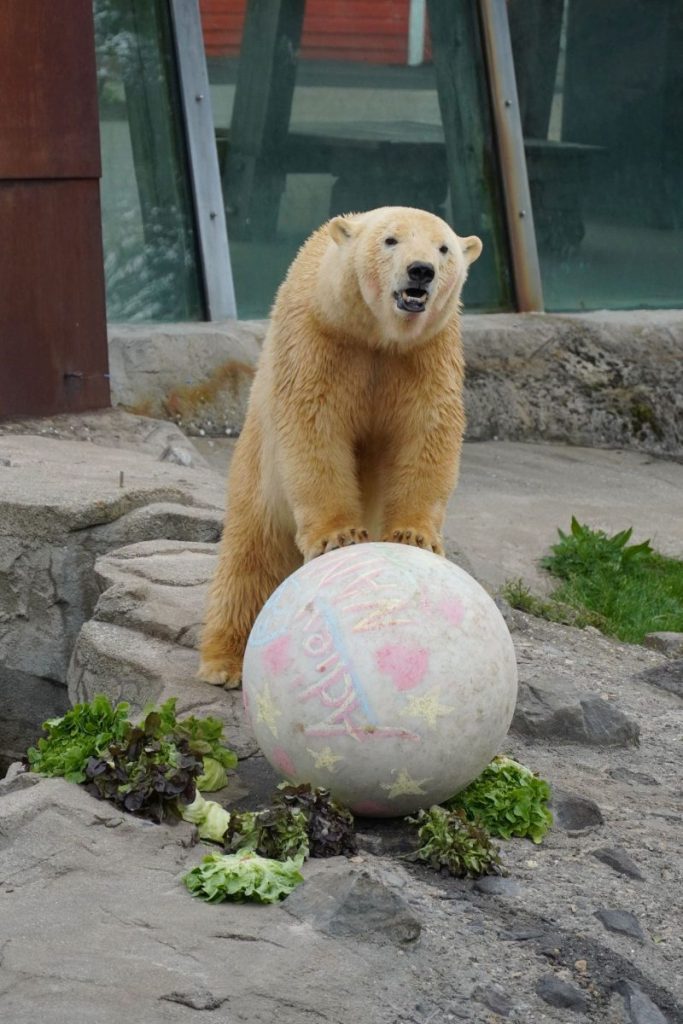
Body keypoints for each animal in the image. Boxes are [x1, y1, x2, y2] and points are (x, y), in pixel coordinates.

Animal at [200, 205, 483, 688]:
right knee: (251, 555)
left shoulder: (427, 354)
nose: (421, 271)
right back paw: (225, 662)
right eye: (391, 240)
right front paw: (340, 535)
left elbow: (426, 433)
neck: (374, 335)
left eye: (443, 248)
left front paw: (414, 535)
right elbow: (315, 427)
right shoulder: (318, 341)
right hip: (257, 468)